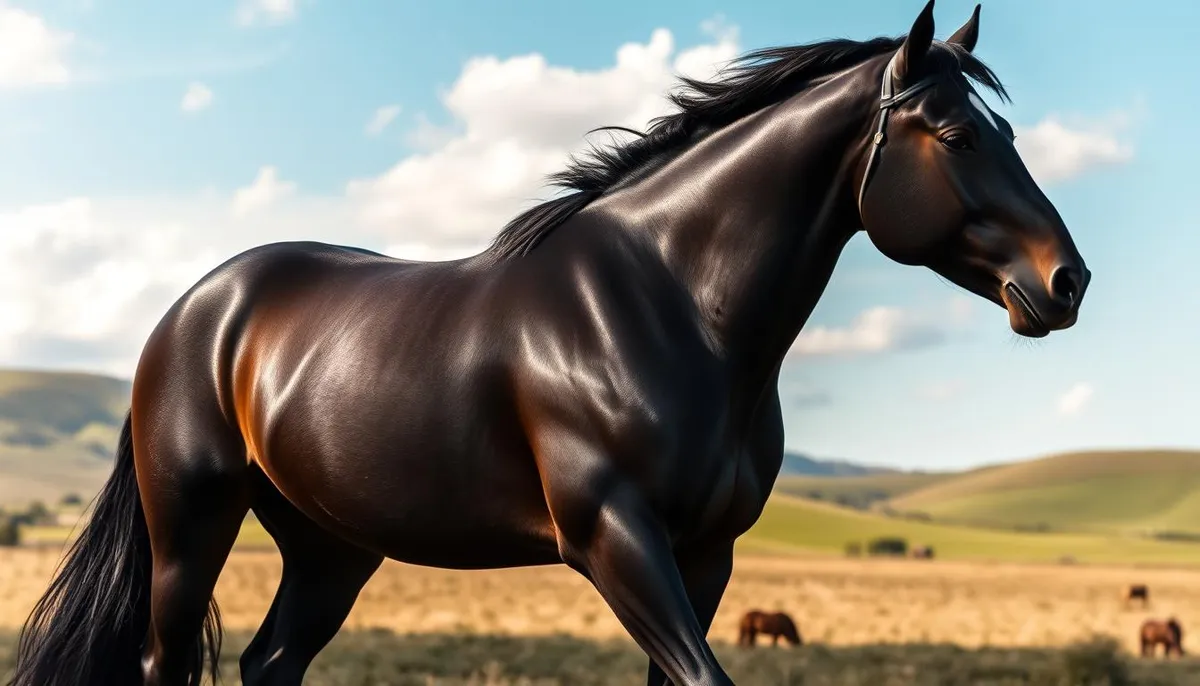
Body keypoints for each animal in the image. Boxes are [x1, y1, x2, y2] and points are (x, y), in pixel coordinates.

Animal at [9, 2, 1090, 685]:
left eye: (1005, 131)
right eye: (956, 134)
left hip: (330, 547)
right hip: (191, 523)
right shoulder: (615, 538)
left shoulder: (705, 556)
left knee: (272, 661)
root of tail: (194, 312)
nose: (1066, 281)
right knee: (165, 661)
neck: (673, 310)